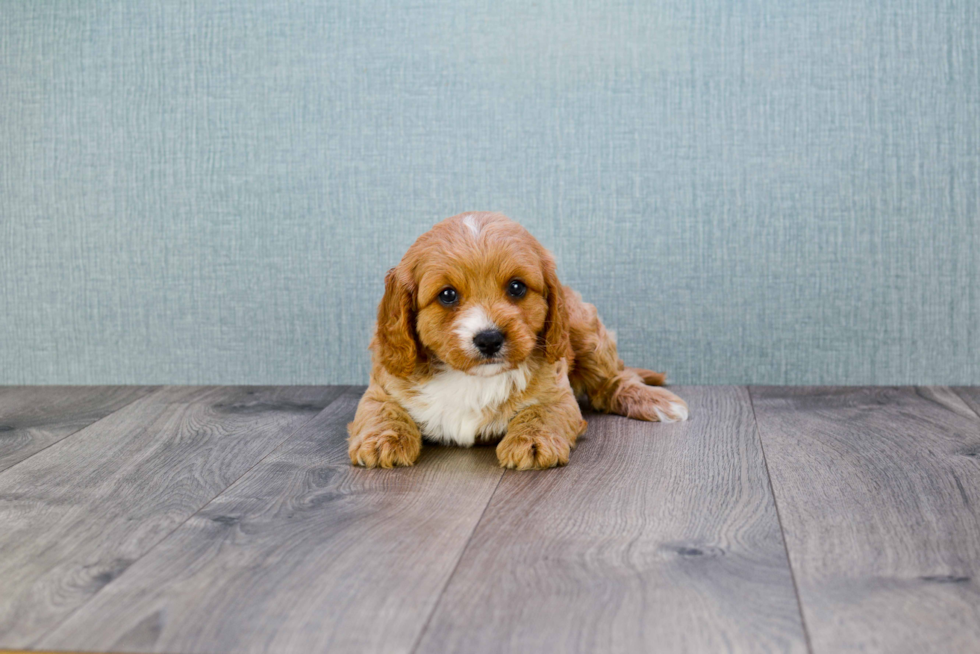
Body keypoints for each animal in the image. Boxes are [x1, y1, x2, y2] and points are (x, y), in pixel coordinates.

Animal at [348, 213, 684, 468]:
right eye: (447, 295)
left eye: (517, 287)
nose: (489, 339)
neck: (472, 378)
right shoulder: (382, 387)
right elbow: (381, 410)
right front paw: (383, 440)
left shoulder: (556, 392)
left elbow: (541, 411)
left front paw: (532, 442)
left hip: (584, 331)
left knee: (615, 378)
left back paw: (654, 401)